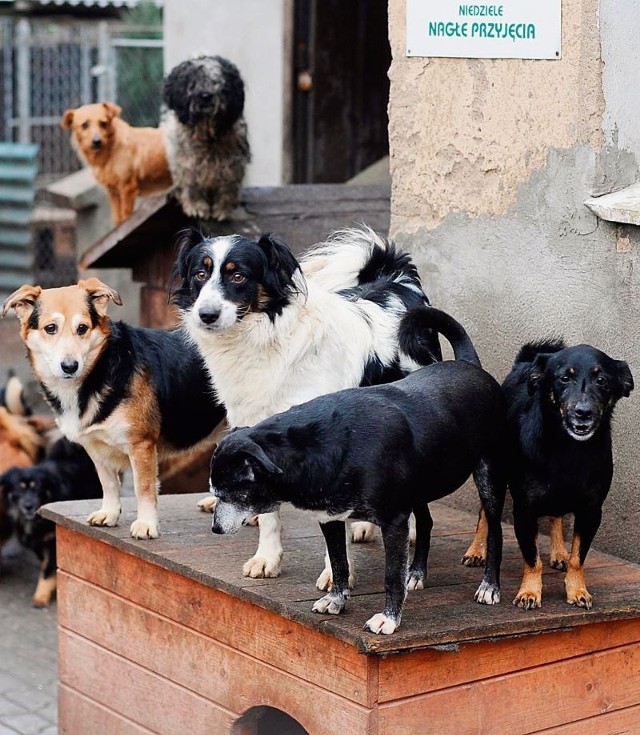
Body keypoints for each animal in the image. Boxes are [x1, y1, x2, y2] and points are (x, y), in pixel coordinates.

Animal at [0, 440, 101, 608]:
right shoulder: (38, 541)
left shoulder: (53, 540)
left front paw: (42, 595)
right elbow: (45, 564)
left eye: (38, 488)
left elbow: (47, 570)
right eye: (19, 489)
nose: (28, 506)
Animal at [162, 55, 250, 221]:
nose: (205, 96)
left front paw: (222, 210)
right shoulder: (187, 164)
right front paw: (196, 208)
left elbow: (226, 188)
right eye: (192, 83)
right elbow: (192, 185)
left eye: (217, 82)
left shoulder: (231, 166)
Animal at [170, 224, 442, 588]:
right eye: (200, 274)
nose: (206, 315)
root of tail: (397, 279)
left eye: (238, 276)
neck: (262, 340)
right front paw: (267, 559)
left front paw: (336, 575)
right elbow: (269, 514)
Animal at [208, 308, 508, 636]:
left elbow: (390, 575)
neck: (327, 445)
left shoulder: (394, 521)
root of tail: (469, 364)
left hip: (490, 477)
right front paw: (336, 601)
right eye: (216, 494)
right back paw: (416, 573)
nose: (215, 529)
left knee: (495, 531)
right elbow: (339, 564)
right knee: (427, 523)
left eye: (232, 494)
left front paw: (389, 619)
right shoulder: (330, 519)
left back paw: (489, 587)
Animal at [504, 340, 636, 608]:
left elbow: (578, 557)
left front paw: (577, 590)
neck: (569, 449)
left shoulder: (591, 511)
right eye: (564, 378)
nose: (583, 412)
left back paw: (559, 553)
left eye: (602, 380)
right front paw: (529, 592)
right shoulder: (524, 509)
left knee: (556, 517)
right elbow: (532, 558)